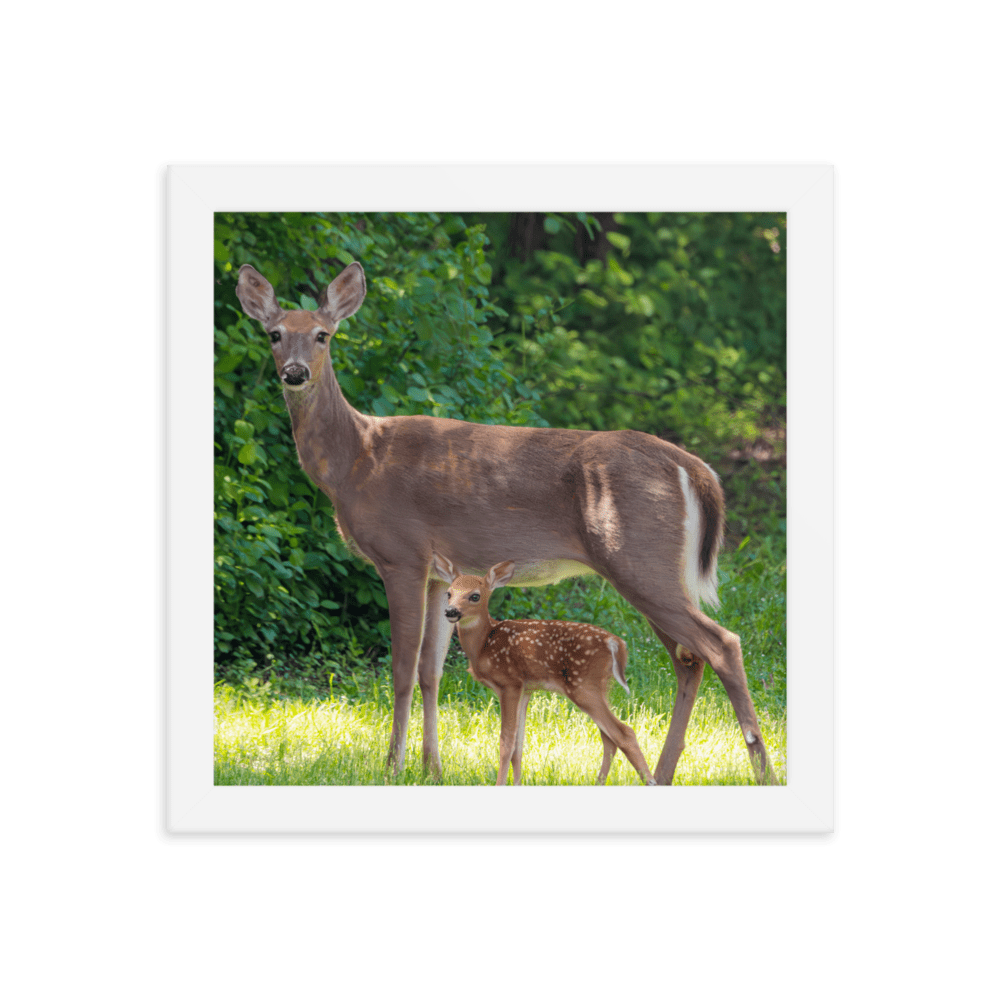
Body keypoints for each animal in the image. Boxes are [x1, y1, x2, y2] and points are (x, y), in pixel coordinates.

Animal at [432, 552, 656, 784]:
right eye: (449, 593)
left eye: (475, 596)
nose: (450, 611)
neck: (484, 644)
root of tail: (616, 643)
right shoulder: (526, 689)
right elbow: (518, 746)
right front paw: (517, 785)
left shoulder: (509, 683)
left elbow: (506, 743)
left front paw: (501, 785)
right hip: (602, 686)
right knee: (609, 737)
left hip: (583, 685)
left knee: (623, 733)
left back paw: (651, 781)